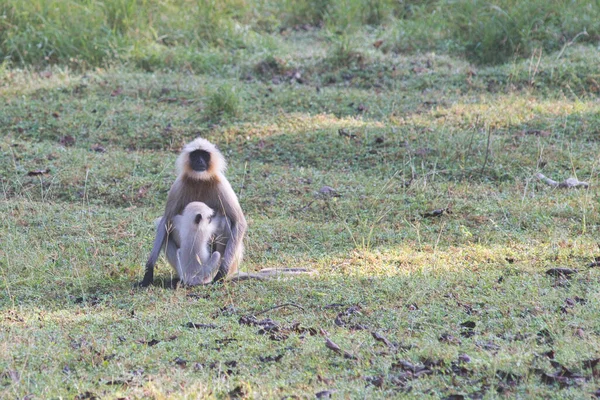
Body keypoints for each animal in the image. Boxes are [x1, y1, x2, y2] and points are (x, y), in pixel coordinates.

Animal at [141, 138, 246, 288]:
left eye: (204, 155)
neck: (200, 179)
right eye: (195, 155)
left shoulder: (221, 183)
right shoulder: (179, 183)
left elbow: (239, 222)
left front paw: (221, 274)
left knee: (226, 221)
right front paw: (148, 273)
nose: (199, 161)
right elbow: (165, 221)